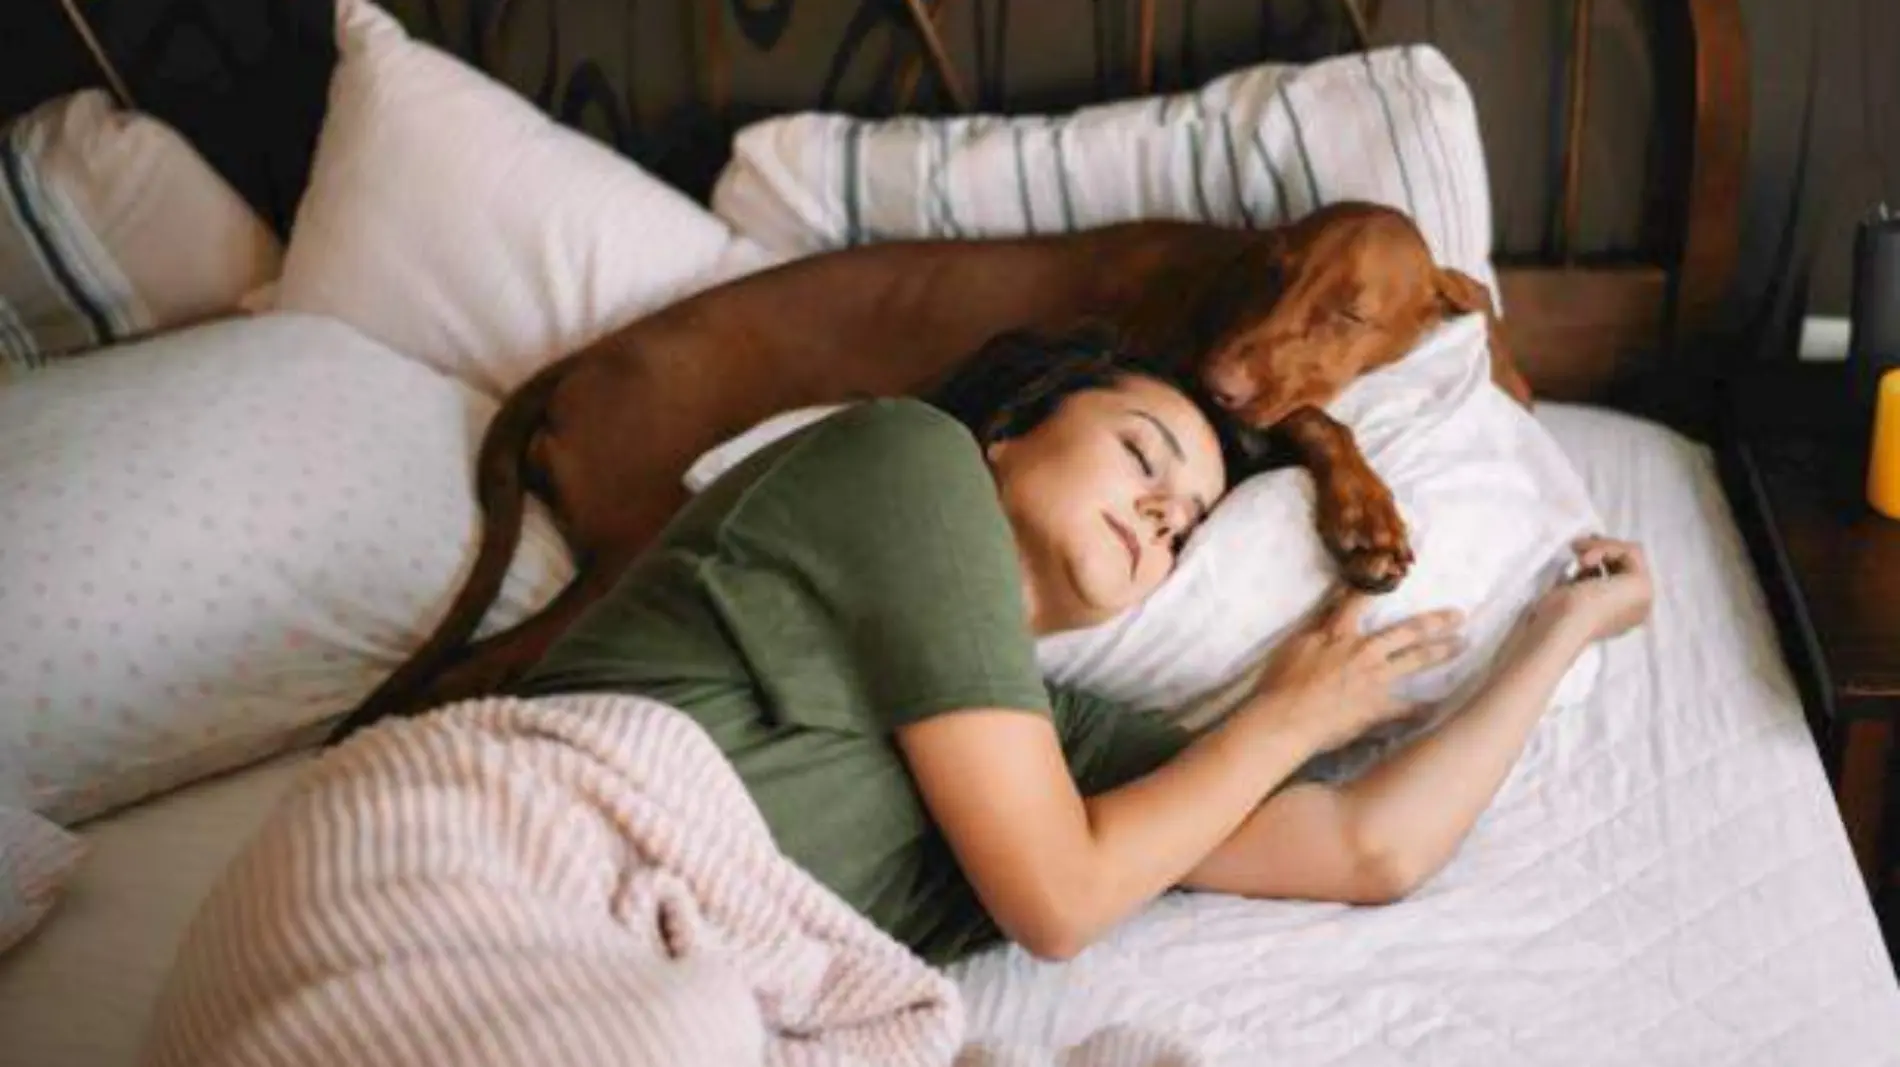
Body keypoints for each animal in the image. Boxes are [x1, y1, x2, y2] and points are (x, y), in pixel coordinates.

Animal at [334, 199, 1527, 736]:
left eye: (1347, 311)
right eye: (1272, 272)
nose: (1222, 380)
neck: (1215, 279)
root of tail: (581, 360)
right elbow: (1321, 420)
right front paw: (1365, 515)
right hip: (625, 548)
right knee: (475, 668)